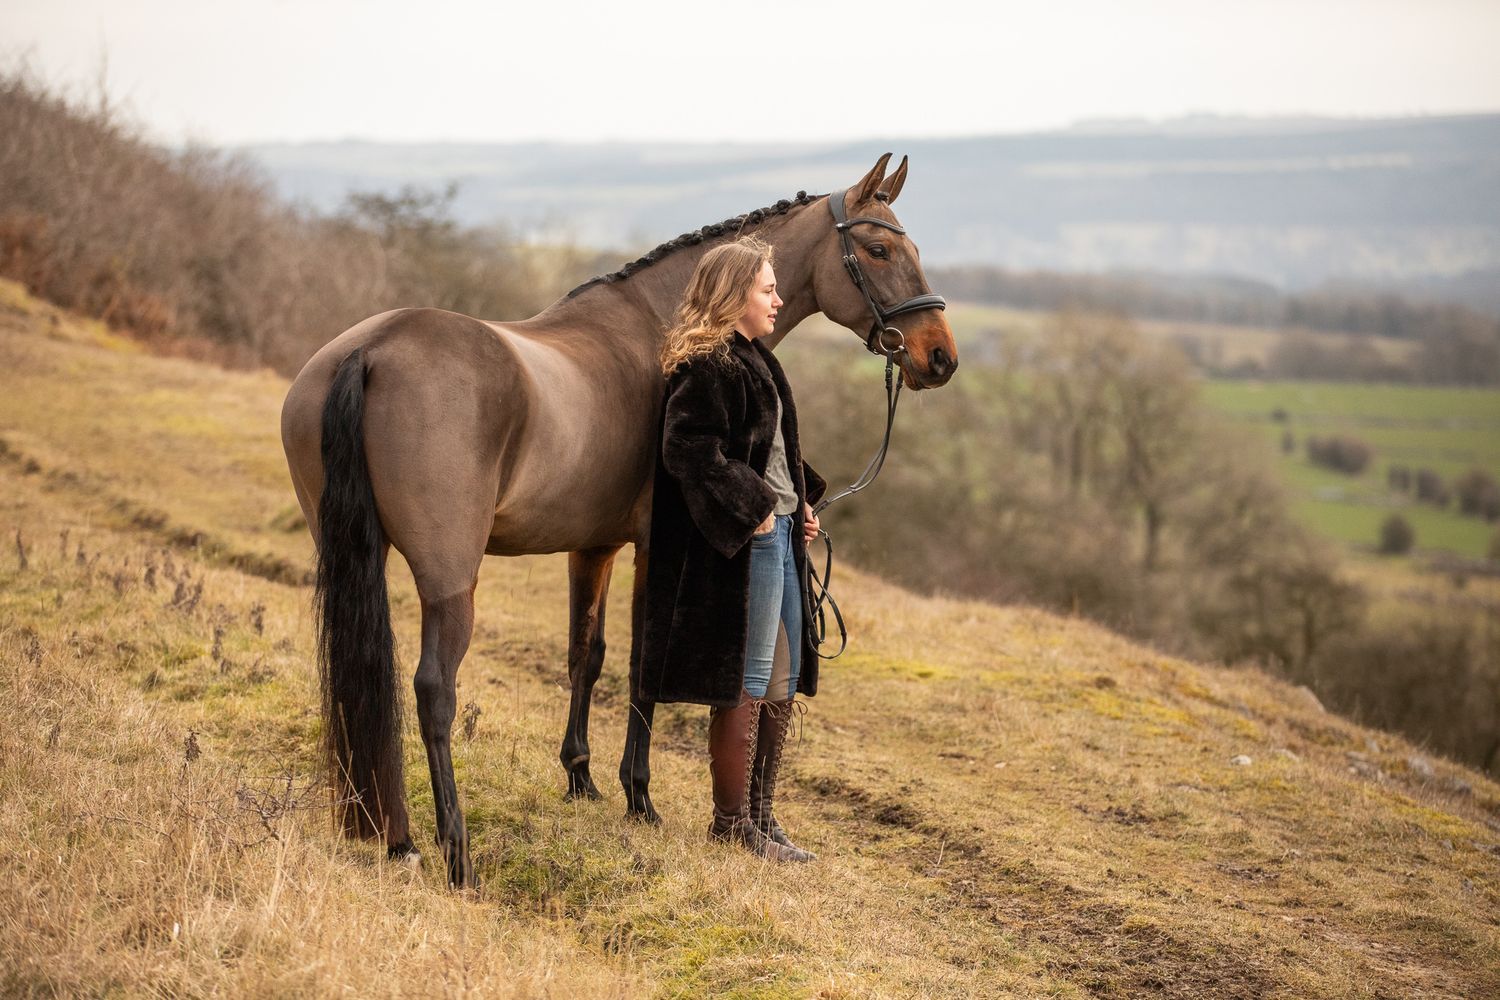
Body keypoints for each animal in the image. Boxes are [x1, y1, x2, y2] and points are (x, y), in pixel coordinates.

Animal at [280, 153, 957, 887]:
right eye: (879, 249)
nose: (940, 356)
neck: (663, 330)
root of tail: (370, 351)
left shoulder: (594, 546)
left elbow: (587, 654)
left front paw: (580, 777)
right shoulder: (654, 542)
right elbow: (642, 662)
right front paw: (640, 796)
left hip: (352, 556)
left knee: (356, 672)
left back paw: (391, 834)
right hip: (450, 575)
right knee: (435, 689)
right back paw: (455, 851)